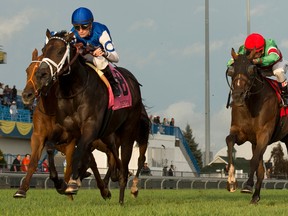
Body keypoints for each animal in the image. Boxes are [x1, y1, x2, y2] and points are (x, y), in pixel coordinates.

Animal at [34, 29, 146, 204]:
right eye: (44, 50)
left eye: (60, 51)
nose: (41, 74)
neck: (74, 90)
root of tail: (133, 80)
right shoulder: (66, 130)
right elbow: (51, 147)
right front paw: (59, 183)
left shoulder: (89, 129)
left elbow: (80, 151)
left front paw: (72, 184)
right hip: (108, 135)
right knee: (116, 159)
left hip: (128, 132)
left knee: (127, 160)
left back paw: (122, 198)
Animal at [226, 48, 288, 204]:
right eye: (231, 70)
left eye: (251, 69)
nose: (237, 96)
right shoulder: (240, 133)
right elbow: (229, 141)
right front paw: (231, 181)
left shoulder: (264, 134)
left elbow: (254, 160)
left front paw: (247, 185)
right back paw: (255, 197)